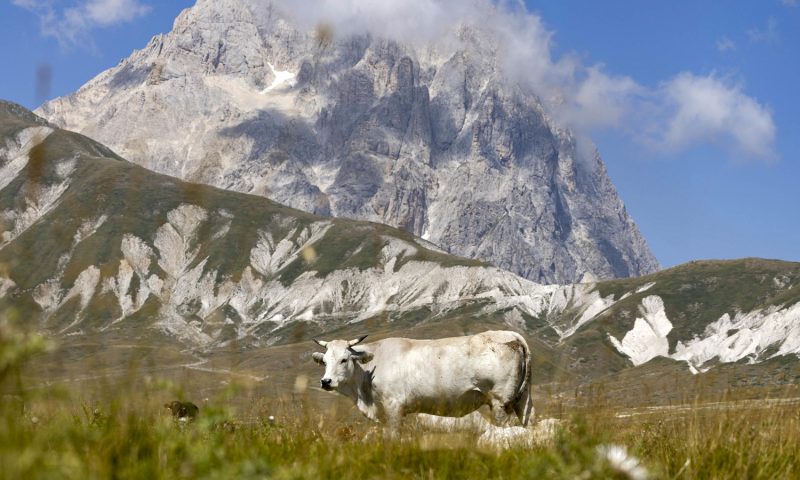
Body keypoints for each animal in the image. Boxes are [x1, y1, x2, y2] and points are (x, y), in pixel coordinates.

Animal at [310, 330, 532, 428]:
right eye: (325, 361)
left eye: (344, 359)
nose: (325, 382)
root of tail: (511, 334)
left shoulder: (394, 407)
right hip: (523, 399)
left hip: (500, 402)